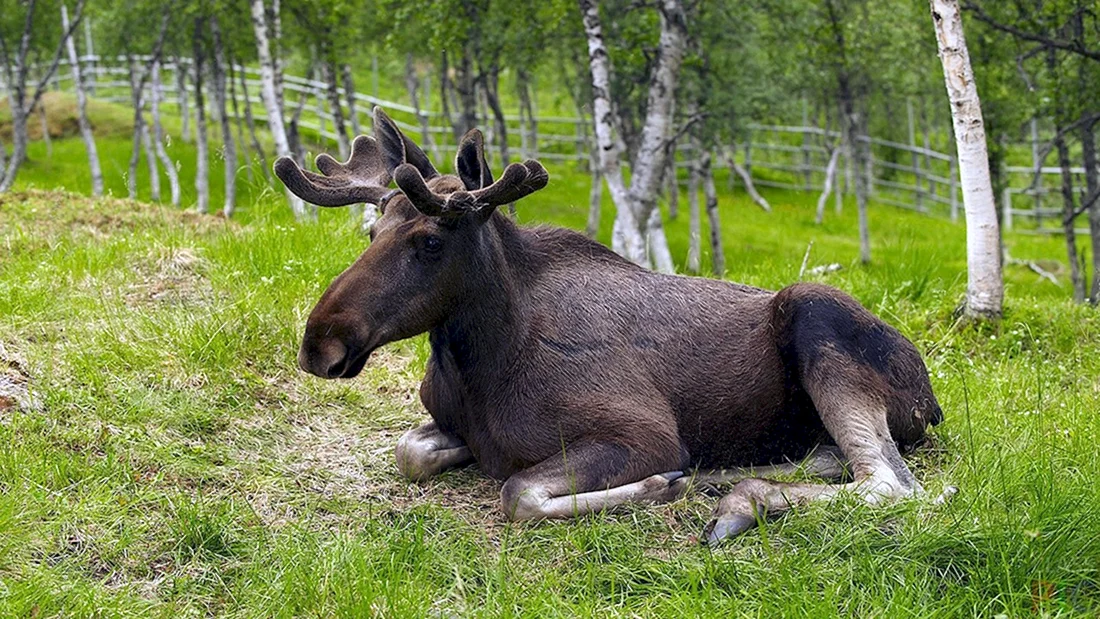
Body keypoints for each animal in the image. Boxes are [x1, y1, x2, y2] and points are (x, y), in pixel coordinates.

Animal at [274, 107, 946, 544]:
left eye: (431, 241)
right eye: (370, 231)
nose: (319, 343)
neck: (480, 358)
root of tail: (933, 400)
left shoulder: (642, 435)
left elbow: (517, 493)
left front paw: (660, 486)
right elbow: (410, 450)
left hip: (817, 314)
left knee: (892, 485)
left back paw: (736, 497)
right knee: (838, 460)